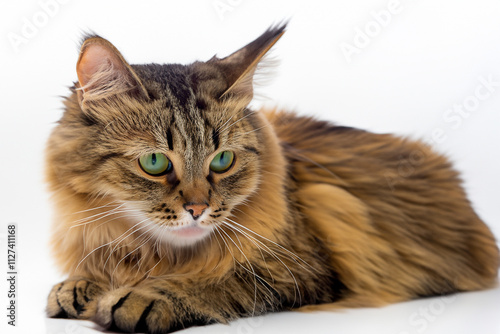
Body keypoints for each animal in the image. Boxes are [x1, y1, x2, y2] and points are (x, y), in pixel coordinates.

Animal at [45, 24, 498, 334]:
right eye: (155, 162)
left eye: (223, 160)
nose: (198, 208)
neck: (160, 254)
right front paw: (80, 286)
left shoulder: (303, 269)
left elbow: (221, 280)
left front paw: (143, 295)